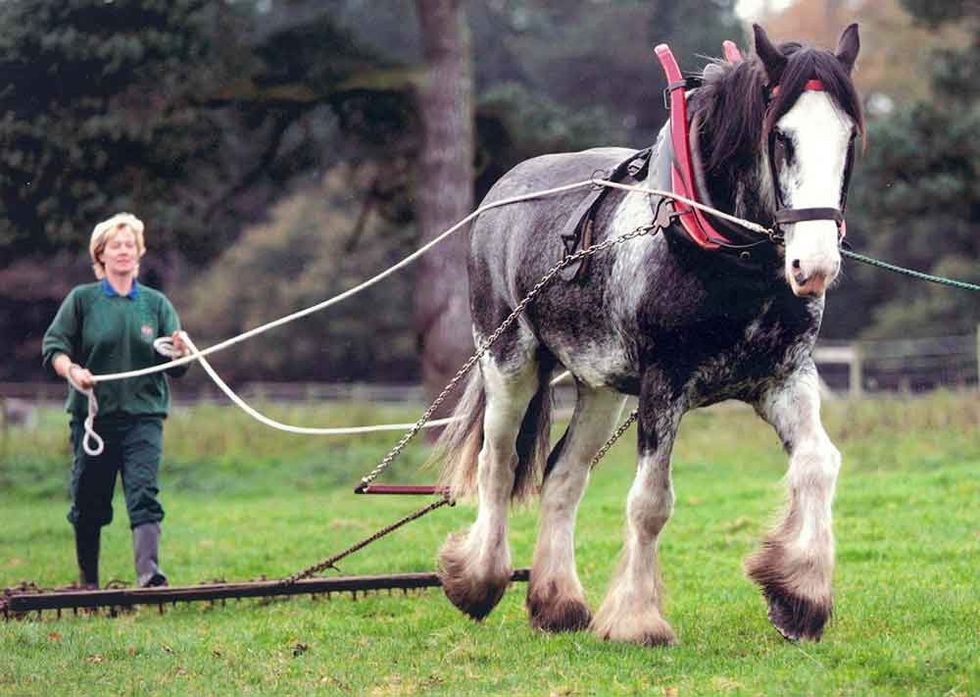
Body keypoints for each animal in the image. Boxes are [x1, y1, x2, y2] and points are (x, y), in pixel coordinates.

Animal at [434, 23, 864, 645]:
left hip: (602, 389)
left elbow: (817, 463)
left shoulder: (783, 377)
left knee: (563, 476)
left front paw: (799, 596)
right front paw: (637, 620)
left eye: (849, 136)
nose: (816, 265)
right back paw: (480, 580)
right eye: (781, 138)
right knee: (499, 463)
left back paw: (556, 602)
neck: (718, 249)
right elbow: (650, 501)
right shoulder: (666, 383)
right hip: (509, 361)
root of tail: (500, 191)